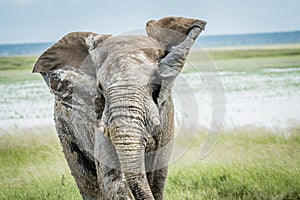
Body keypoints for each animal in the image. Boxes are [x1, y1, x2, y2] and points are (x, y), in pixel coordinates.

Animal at [32, 16, 206, 199]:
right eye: (100, 87)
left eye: (155, 82)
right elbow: (113, 180)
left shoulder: (166, 116)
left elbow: (157, 176)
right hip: (64, 128)